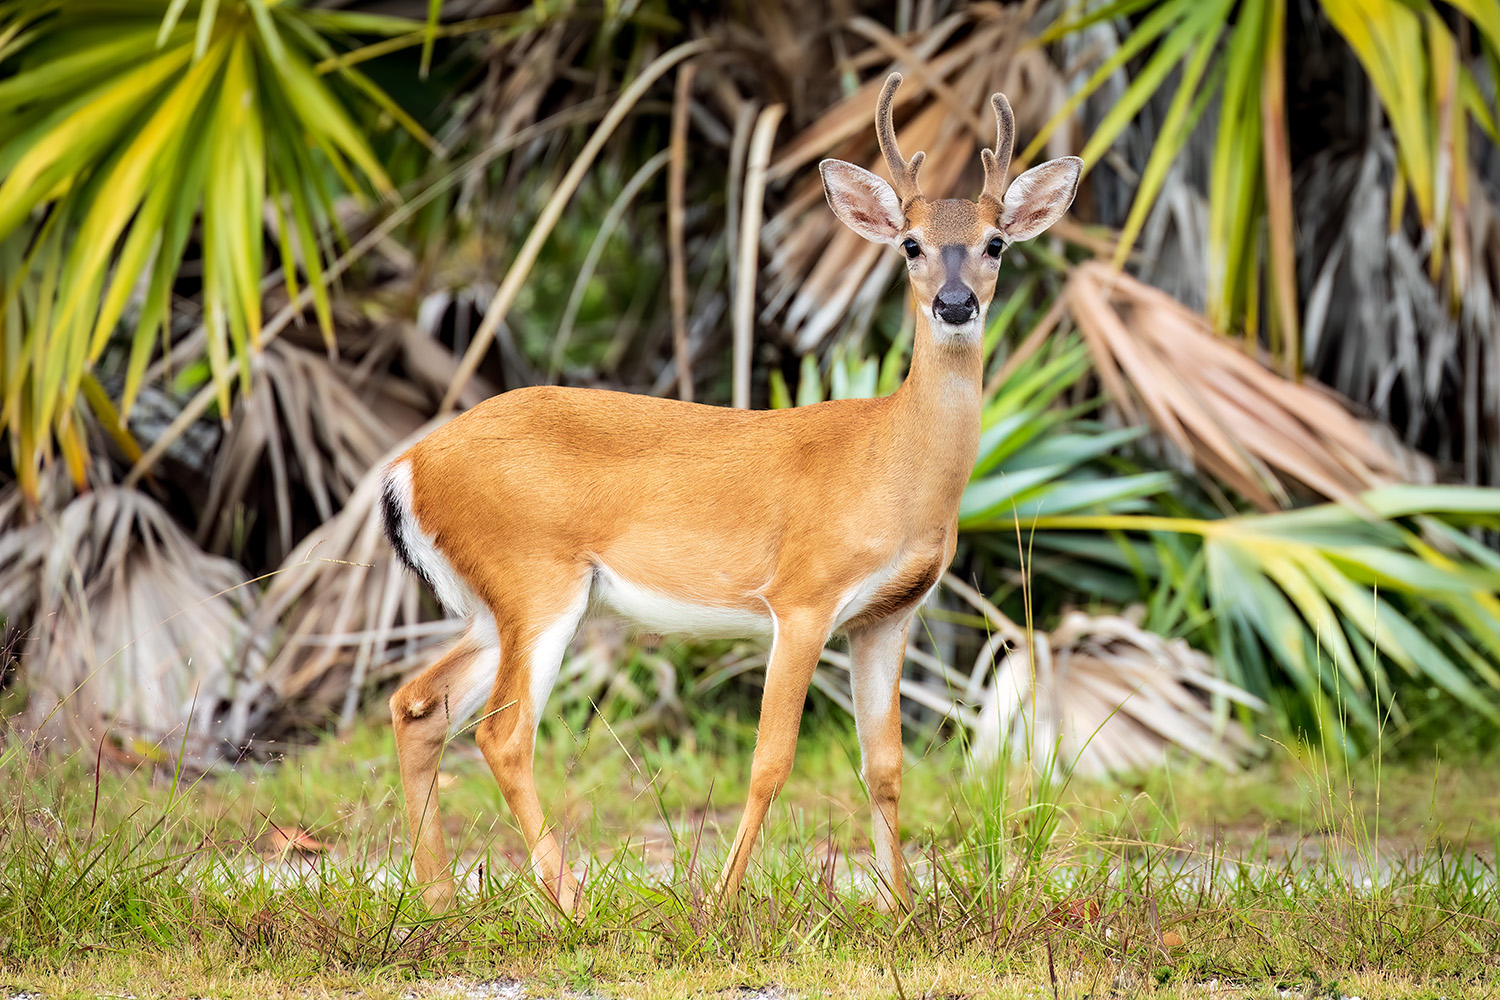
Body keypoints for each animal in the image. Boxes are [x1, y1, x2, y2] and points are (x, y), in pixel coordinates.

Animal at [379, 72, 1082, 915]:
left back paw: (439, 901)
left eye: (996, 242)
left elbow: (884, 765)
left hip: (494, 606)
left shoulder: (888, 614)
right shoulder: (804, 596)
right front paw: (719, 906)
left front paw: (901, 909)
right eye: (910, 244)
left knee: (418, 704)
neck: (893, 466)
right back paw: (571, 904)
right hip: (535, 579)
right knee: (502, 734)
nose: (954, 304)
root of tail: (410, 466)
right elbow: (771, 760)